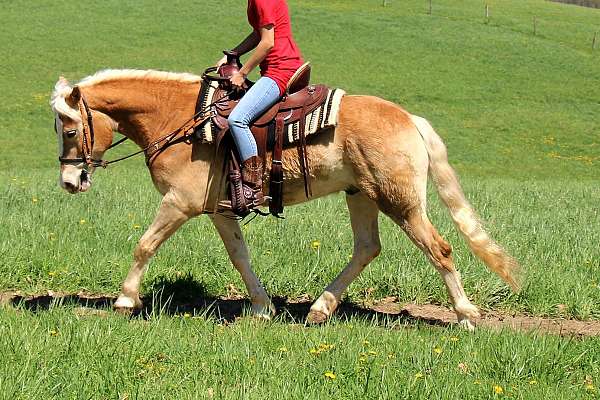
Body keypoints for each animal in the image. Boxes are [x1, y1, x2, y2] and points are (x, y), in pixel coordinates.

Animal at [50, 69, 520, 332]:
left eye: (70, 129)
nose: (70, 181)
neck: (182, 120)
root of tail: (409, 119)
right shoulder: (218, 210)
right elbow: (240, 257)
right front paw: (262, 308)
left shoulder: (179, 203)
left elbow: (144, 244)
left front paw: (125, 300)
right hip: (361, 196)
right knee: (367, 248)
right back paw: (319, 309)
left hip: (399, 203)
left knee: (439, 249)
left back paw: (465, 316)